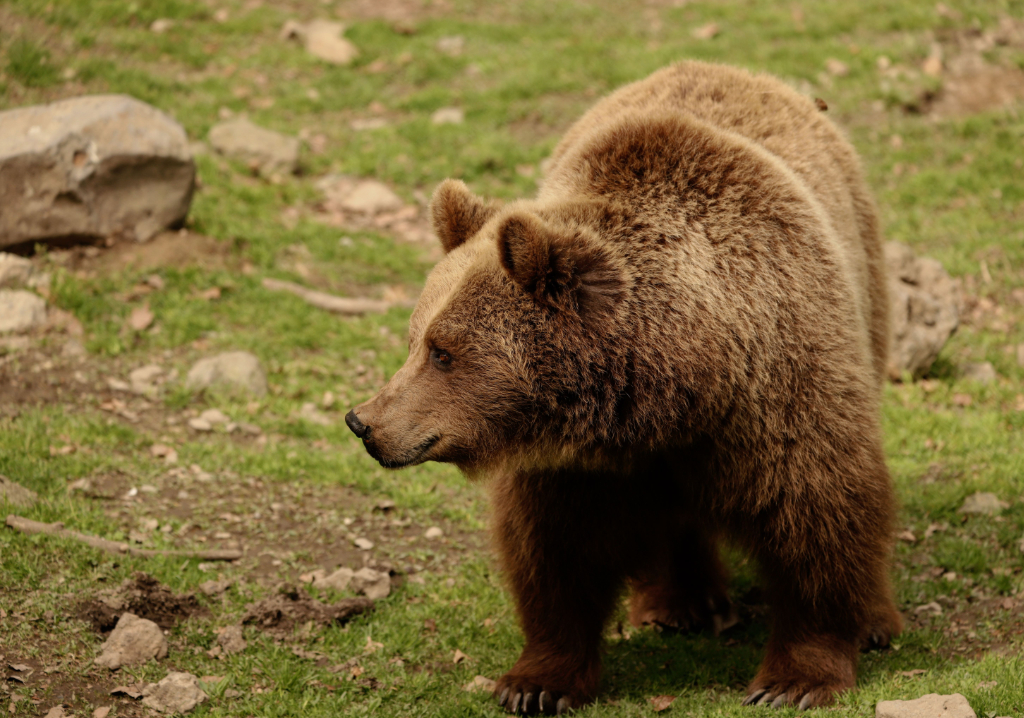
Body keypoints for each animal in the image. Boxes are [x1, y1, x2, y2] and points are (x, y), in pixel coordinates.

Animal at [345, 60, 902, 714]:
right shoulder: (573, 466)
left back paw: (875, 619)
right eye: (415, 339)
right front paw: (536, 682)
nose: (365, 421)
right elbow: (553, 552)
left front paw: (795, 678)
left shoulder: (778, 390)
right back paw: (679, 601)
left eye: (443, 352)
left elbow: (816, 510)